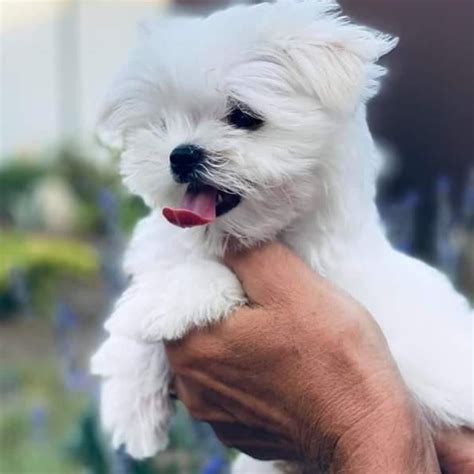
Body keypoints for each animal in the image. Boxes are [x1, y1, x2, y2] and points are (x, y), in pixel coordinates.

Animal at [90, 1, 474, 472]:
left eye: (243, 117)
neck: (243, 234)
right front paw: (131, 406)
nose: (180, 155)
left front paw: (172, 299)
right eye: (162, 123)